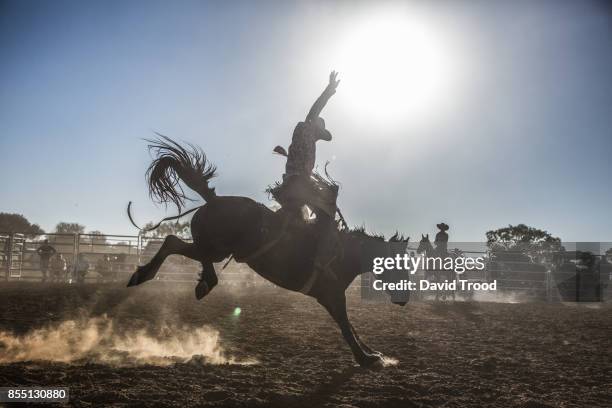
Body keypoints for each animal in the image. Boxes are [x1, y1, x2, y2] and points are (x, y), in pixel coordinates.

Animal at [126, 137, 408, 366]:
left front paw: (375, 353)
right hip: (216, 248)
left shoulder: (334, 296)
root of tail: (213, 200)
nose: (404, 299)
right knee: (176, 244)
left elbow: (352, 327)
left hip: (213, 247)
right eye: (398, 266)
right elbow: (346, 327)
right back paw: (186, 281)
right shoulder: (331, 295)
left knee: (175, 242)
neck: (345, 253)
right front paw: (366, 359)